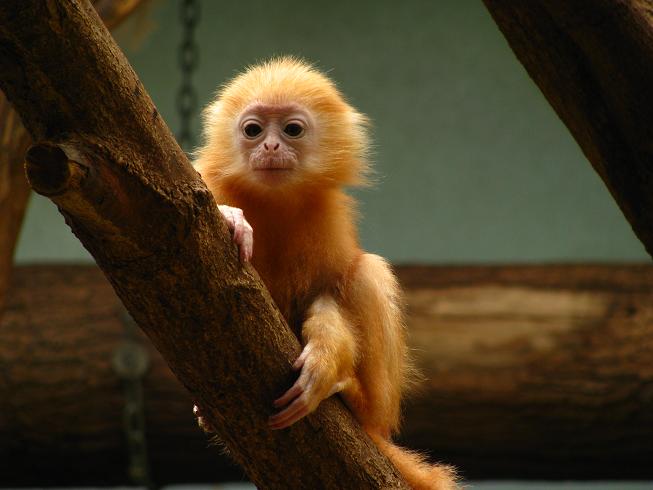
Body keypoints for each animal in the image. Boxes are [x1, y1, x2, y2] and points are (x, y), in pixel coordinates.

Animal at [193, 57, 458, 490]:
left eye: (291, 130)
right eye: (253, 130)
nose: (270, 146)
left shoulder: (329, 220)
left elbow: (329, 292)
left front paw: (325, 359)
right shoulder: (205, 181)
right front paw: (232, 218)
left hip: (380, 415)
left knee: (368, 273)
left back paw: (358, 398)